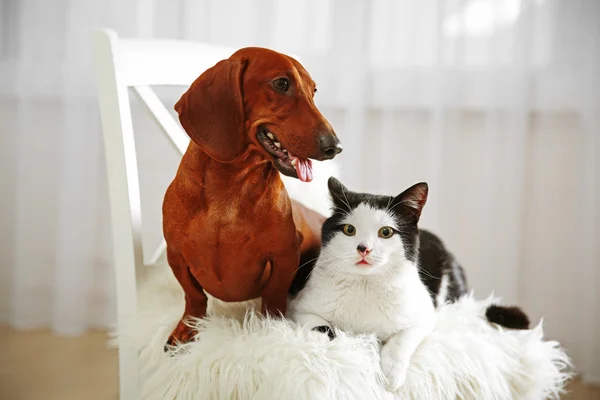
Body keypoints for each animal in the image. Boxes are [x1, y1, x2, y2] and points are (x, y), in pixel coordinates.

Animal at [163, 46, 342, 346]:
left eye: (313, 90)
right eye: (281, 83)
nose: (335, 147)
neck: (230, 188)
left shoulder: (284, 255)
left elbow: (273, 297)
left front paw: (270, 327)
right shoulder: (175, 254)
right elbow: (194, 296)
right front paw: (188, 327)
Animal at [288, 178, 528, 390]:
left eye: (386, 232)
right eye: (349, 229)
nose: (364, 248)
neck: (365, 284)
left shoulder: (423, 315)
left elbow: (401, 339)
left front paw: (391, 372)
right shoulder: (300, 308)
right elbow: (323, 328)